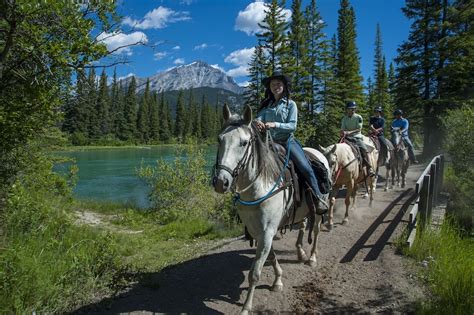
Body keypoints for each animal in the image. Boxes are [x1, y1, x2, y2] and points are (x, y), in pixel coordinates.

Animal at [213, 105, 332, 314]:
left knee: (316, 231)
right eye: (220, 139)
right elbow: (271, 256)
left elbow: (254, 273)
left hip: (319, 210)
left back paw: (311, 258)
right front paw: (278, 281)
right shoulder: (259, 231)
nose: (221, 182)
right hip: (302, 210)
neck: (259, 188)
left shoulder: (267, 232)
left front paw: (246, 307)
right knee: (303, 226)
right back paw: (300, 253)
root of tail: (318, 153)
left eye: (244, 143)